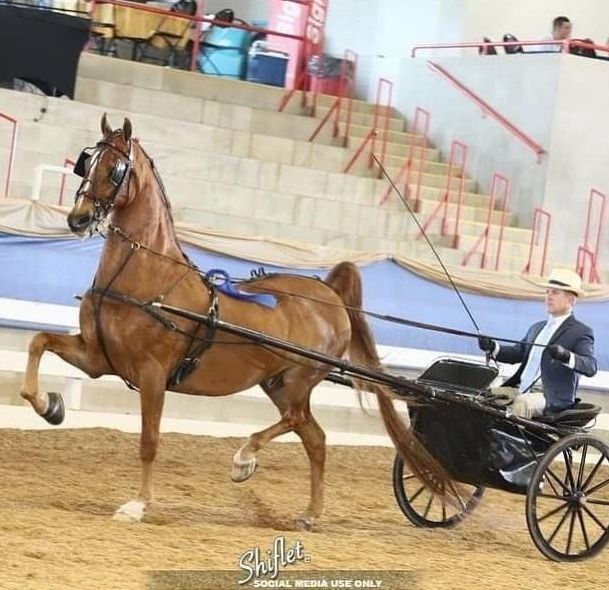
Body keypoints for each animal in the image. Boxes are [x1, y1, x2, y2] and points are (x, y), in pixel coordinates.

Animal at [19, 114, 452, 528]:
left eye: (116, 170)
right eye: (87, 162)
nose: (78, 219)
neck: (146, 277)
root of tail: (329, 293)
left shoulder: (152, 373)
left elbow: (149, 439)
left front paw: (138, 505)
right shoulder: (98, 358)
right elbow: (38, 343)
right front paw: (49, 405)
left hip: (299, 378)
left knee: (297, 421)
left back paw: (244, 459)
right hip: (276, 382)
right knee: (314, 437)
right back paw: (310, 513)